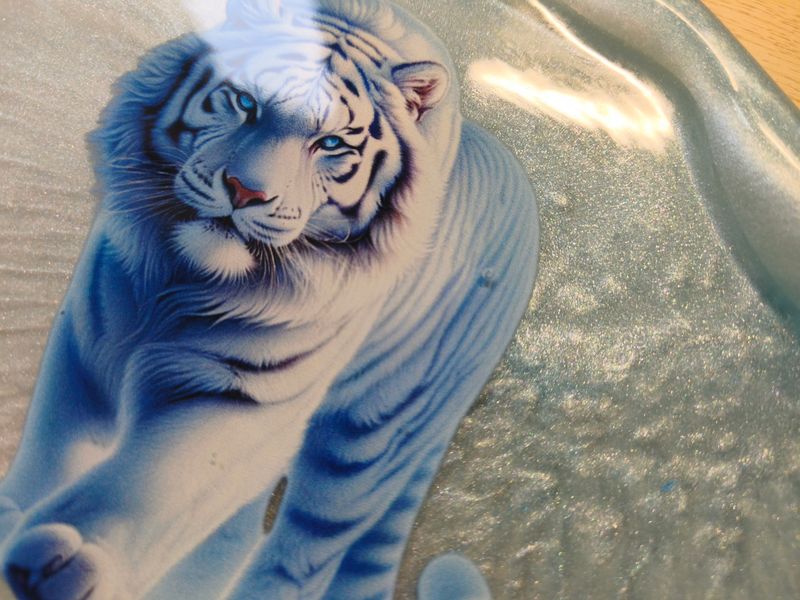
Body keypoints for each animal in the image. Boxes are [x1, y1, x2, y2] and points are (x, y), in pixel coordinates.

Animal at [0, 0, 538, 598]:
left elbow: (153, 481)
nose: (245, 191)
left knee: (302, 555)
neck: (181, 281)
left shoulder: (242, 393)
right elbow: (53, 445)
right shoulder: (87, 341)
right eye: (245, 101)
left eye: (331, 144)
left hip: (367, 442)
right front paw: (15, 514)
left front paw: (63, 560)